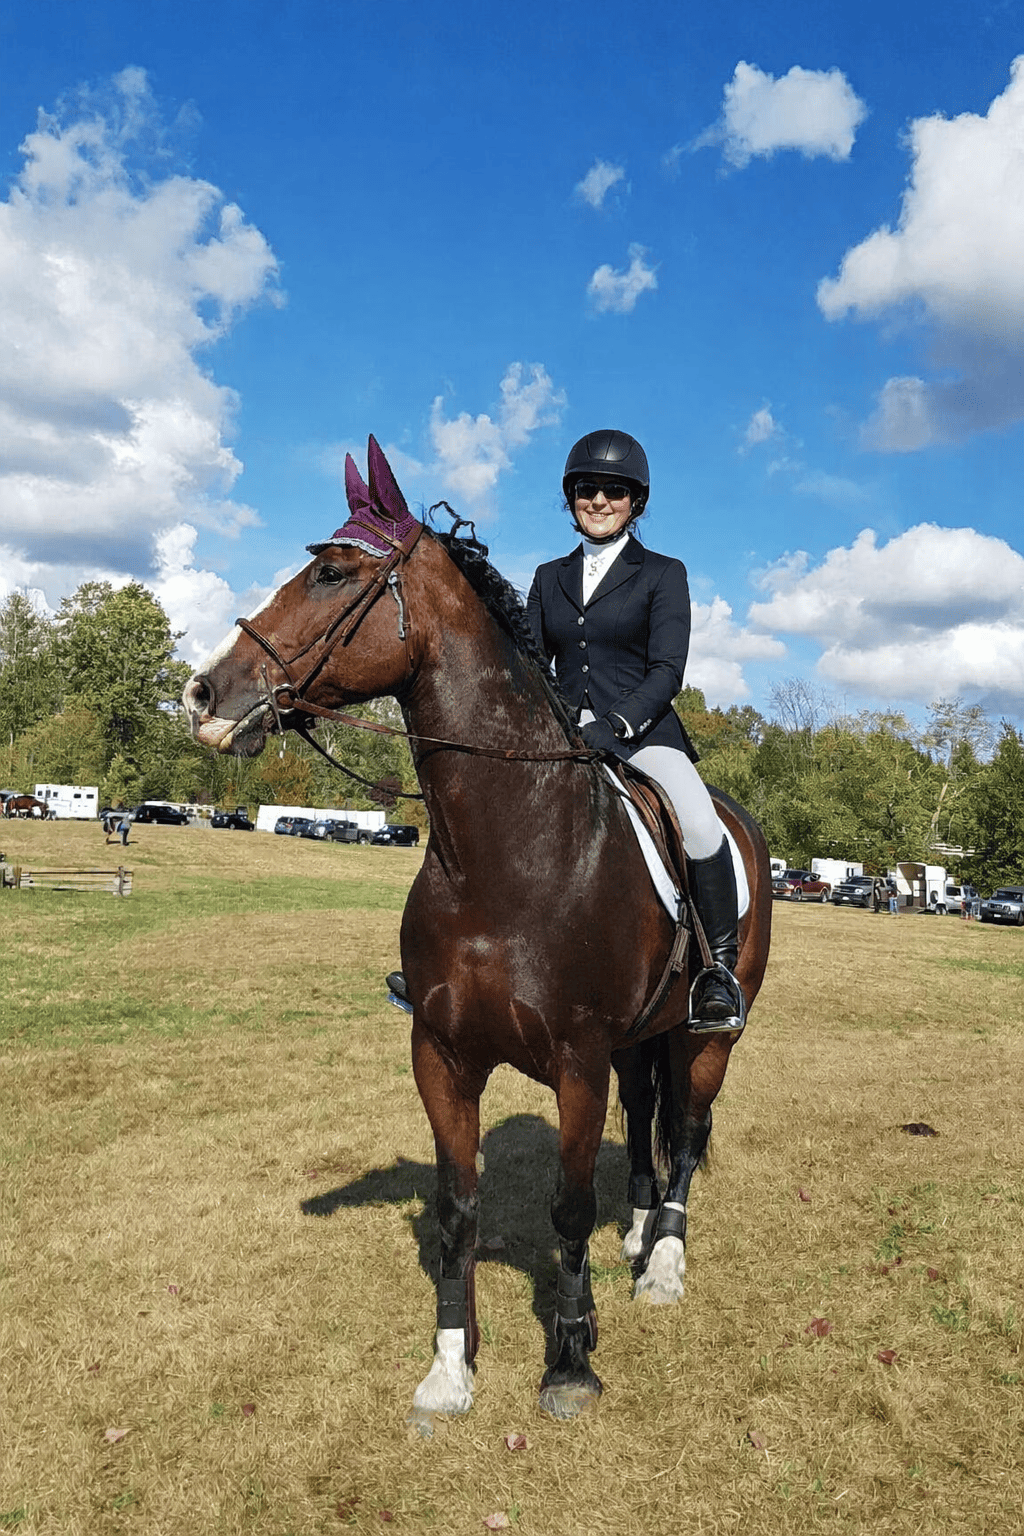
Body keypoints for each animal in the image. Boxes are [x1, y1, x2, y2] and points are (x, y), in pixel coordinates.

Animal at [184, 436, 772, 1427]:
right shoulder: (443, 1052)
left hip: (707, 1034)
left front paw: (569, 1361)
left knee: (688, 1129)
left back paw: (664, 1264)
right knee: (648, 1118)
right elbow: (458, 1208)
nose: (204, 694)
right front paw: (451, 1368)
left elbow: (568, 1209)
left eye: (331, 573)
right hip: (638, 1039)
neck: (506, 849)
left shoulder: (576, 1059)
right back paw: (637, 1235)